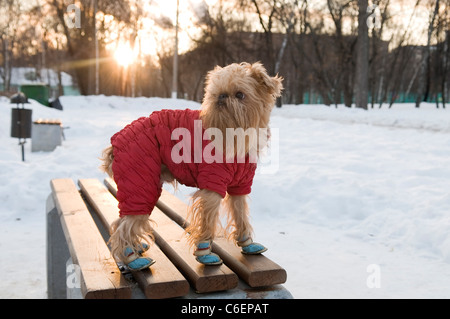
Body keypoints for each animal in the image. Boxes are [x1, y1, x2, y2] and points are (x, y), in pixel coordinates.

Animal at [102, 62, 284, 270]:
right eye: (216, 93)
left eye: (240, 95)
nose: (222, 97)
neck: (234, 134)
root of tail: (117, 142)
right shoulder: (212, 185)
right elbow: (208, 221)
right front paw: (205, 254)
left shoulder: (240, 186)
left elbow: (241, 215)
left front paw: (248, 243)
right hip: (141, 187)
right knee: (123, 226)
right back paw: (133, 259)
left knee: (122, 220)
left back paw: (136, 247)